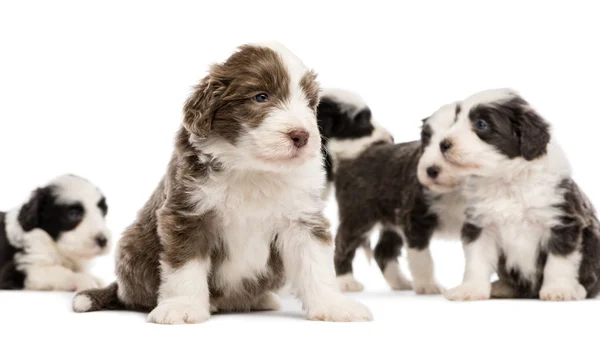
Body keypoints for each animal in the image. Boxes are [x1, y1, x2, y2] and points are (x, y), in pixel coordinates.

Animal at [72, 41, 372, 322]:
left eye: (310, 103)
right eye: (261, 97)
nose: (301, 136)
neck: (252, 169)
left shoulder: (302, 219)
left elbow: (316, 266)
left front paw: (334, 306)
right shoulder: (187, 215)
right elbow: (185, 268)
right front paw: (183, 307)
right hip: (132, 247)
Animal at [332, 103, 468, 292]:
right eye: (425, 139)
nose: (430, 170)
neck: (454, 190)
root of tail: (357, 153)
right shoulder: (414, 218)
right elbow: (421, 257)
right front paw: (427, 285)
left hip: (391, 221)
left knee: (382, 251)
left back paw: (399, 282)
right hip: (358, 215)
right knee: (343, 242)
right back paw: (346, 281)